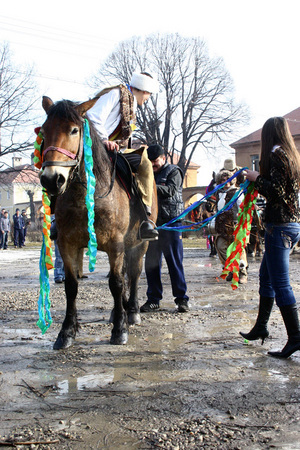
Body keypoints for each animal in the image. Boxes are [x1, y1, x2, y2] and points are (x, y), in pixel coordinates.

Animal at [38, 95, 157, 348]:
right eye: (43, 131)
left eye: (74, 130)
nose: (52, 179)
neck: (84, 197)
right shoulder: (68, 244)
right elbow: (71, 286)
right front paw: (66, 332)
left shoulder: (116, 245)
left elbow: (116, 283)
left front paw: (120, 329)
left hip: (139, 243)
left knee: (133, 273)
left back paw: (131, 311)